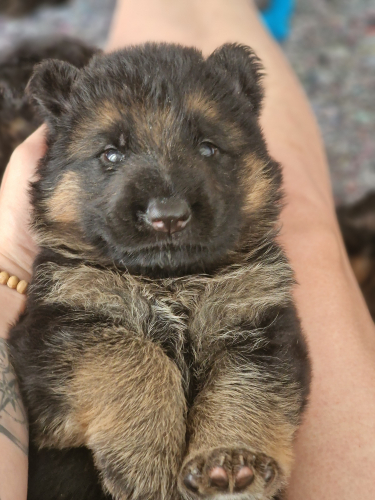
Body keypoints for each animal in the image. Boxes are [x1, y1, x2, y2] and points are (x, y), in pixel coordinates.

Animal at [7, 42, 312, 500]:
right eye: (111, 154)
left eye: (208, 148)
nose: (167, 215)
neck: (169, 281)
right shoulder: (54, 334)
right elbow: (132, 354)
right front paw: (146, 461)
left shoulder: (260, 327)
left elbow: (246, 390)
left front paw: (232, 463)